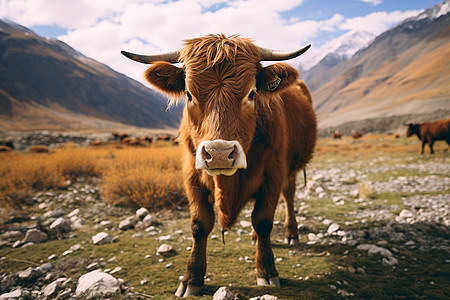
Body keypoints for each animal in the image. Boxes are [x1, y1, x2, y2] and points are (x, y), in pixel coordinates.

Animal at [121, 34, 314, 296]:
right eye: (189, 94)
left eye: (252, 93)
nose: (220, 153)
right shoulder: (192, 175)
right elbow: (199, 224)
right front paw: (192, 278)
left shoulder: (273, 174)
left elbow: (263, 220)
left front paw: (266, 271)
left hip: (291, 168)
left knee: (289, 195)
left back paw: (291, 234)